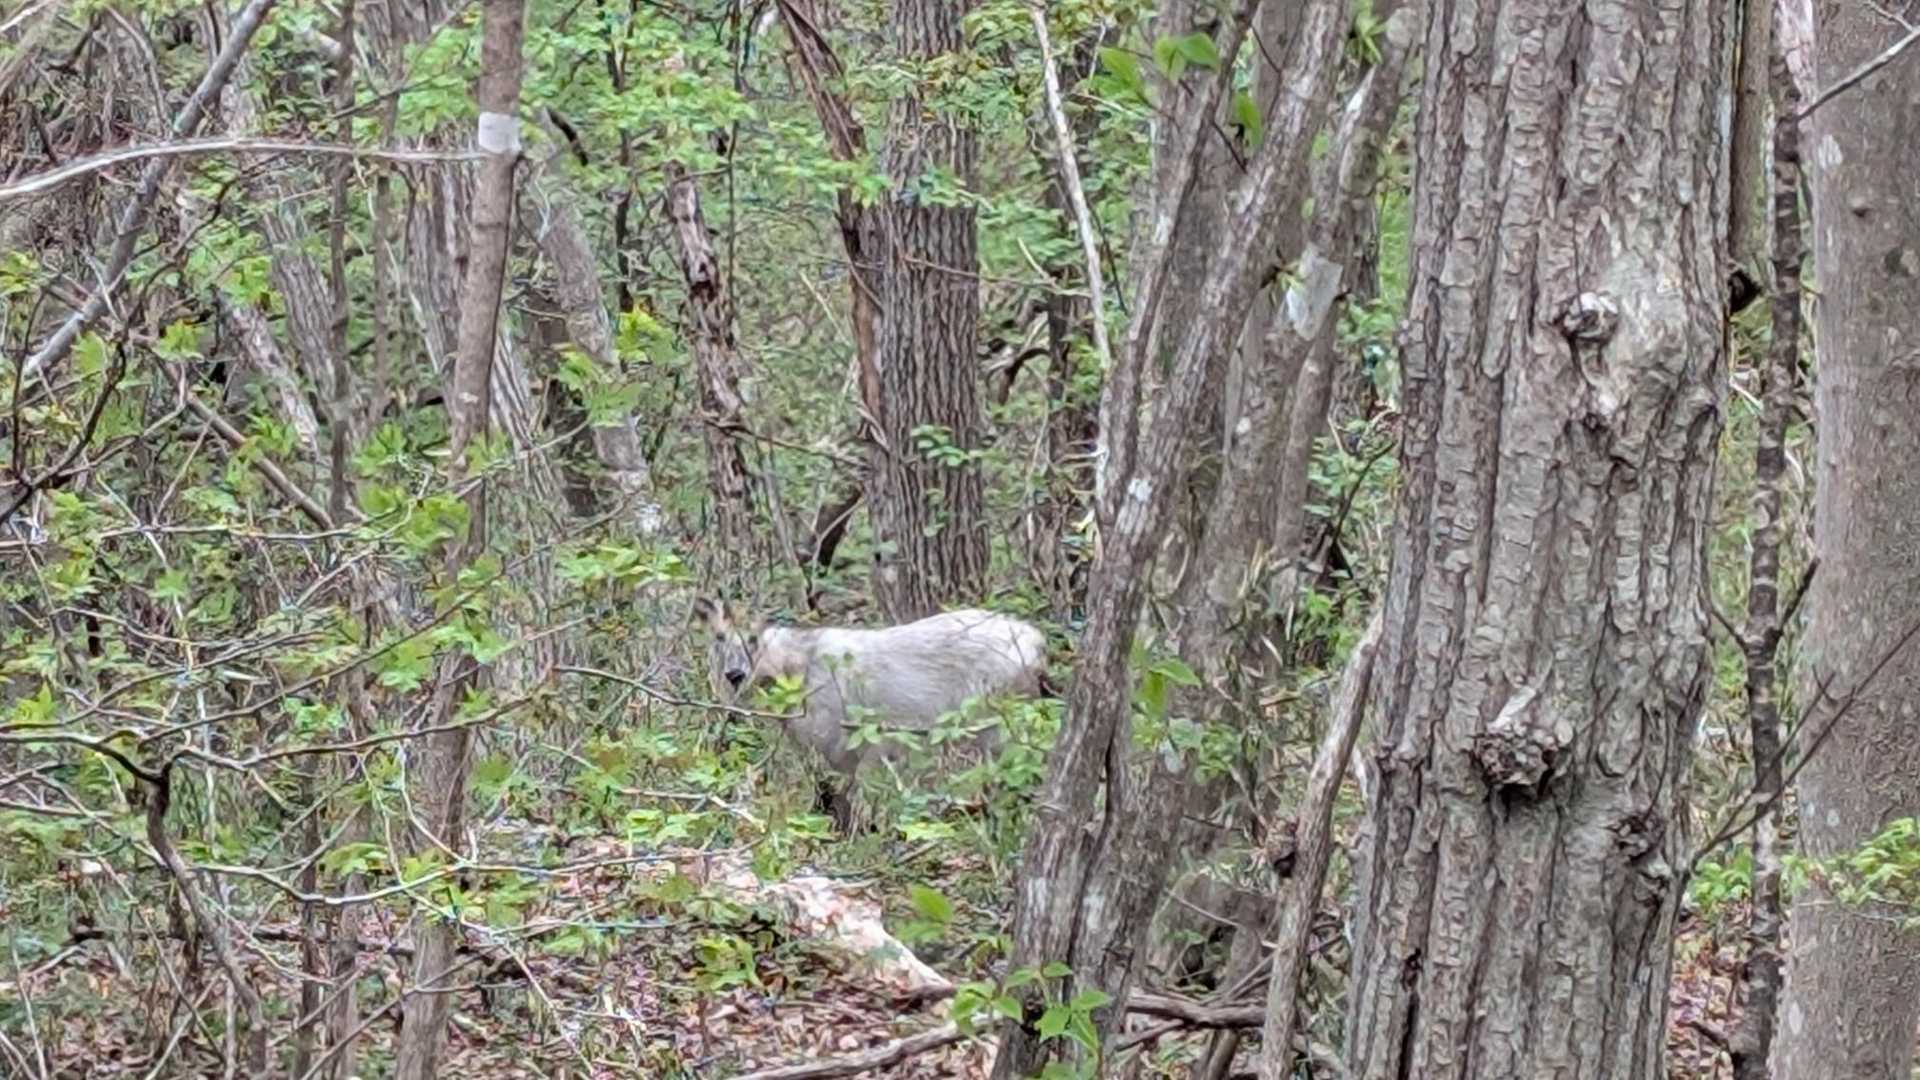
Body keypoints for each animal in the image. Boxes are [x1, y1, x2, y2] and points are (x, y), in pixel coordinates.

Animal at [690, 597, 1050, 828]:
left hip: (996, 729)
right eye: (719, 637)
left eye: (753, 639)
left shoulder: (859, 745)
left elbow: (842, 799)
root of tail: (1034, 639)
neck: (797, 667)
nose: (734, 675)